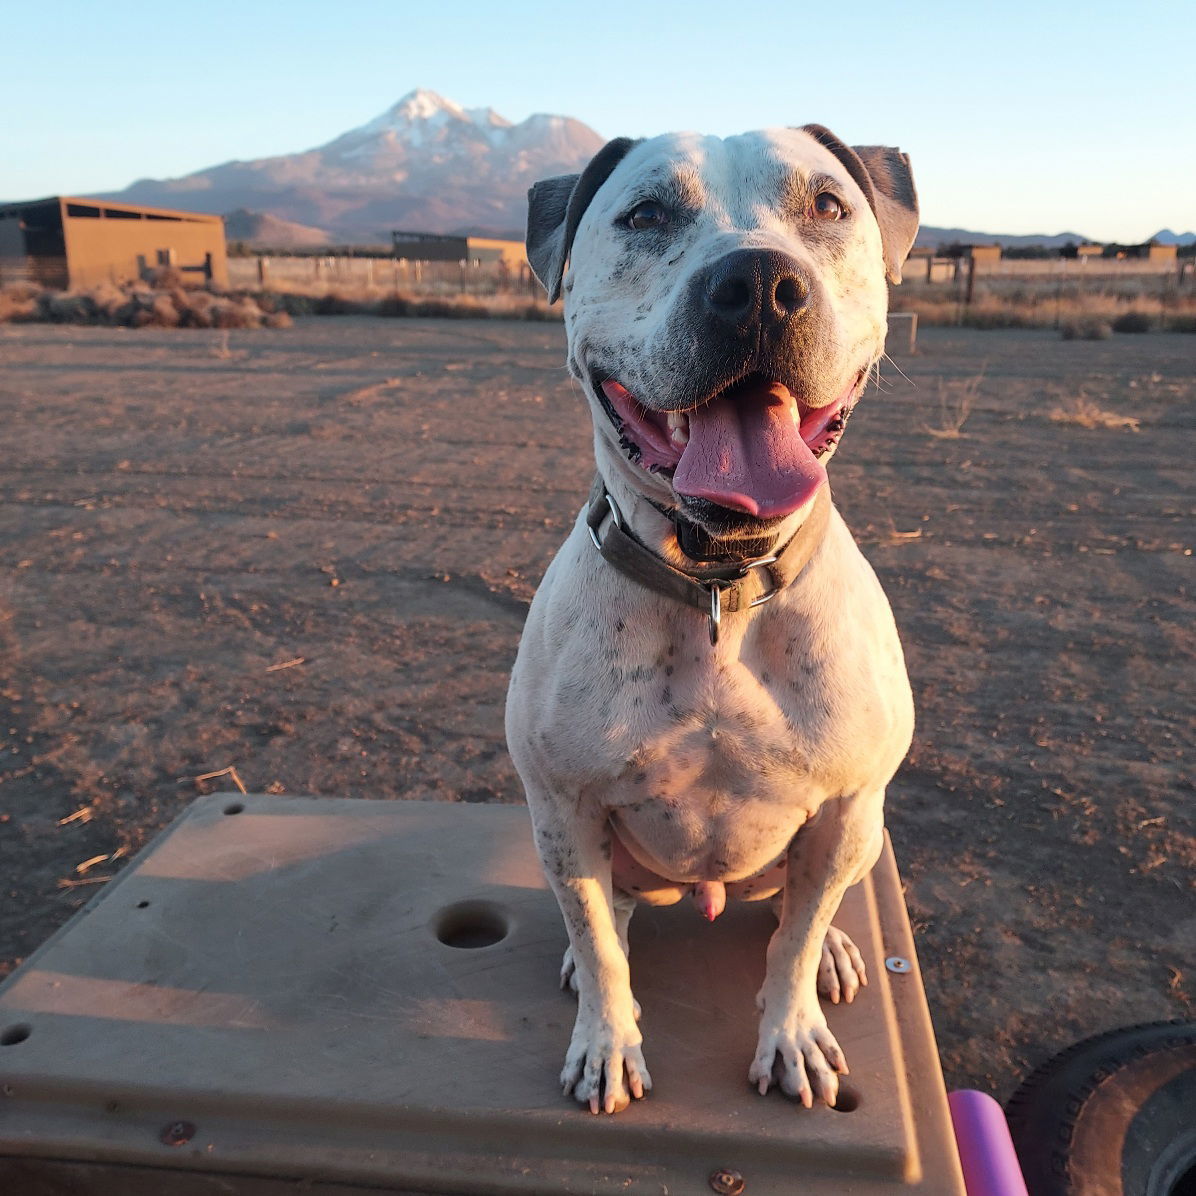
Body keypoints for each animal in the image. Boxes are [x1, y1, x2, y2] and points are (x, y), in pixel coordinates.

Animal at [504, 121, 913, 1109]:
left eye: (828, 206)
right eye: (646, 214)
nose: (758, 284)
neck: (719, 583)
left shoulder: (845, 810)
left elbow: (795, 941)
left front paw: (792, 1032)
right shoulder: (562, 808)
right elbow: (600, 947)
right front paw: (607, 1041)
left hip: (868, 832)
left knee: (800, 911)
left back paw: (835, 950)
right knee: (608, 916)